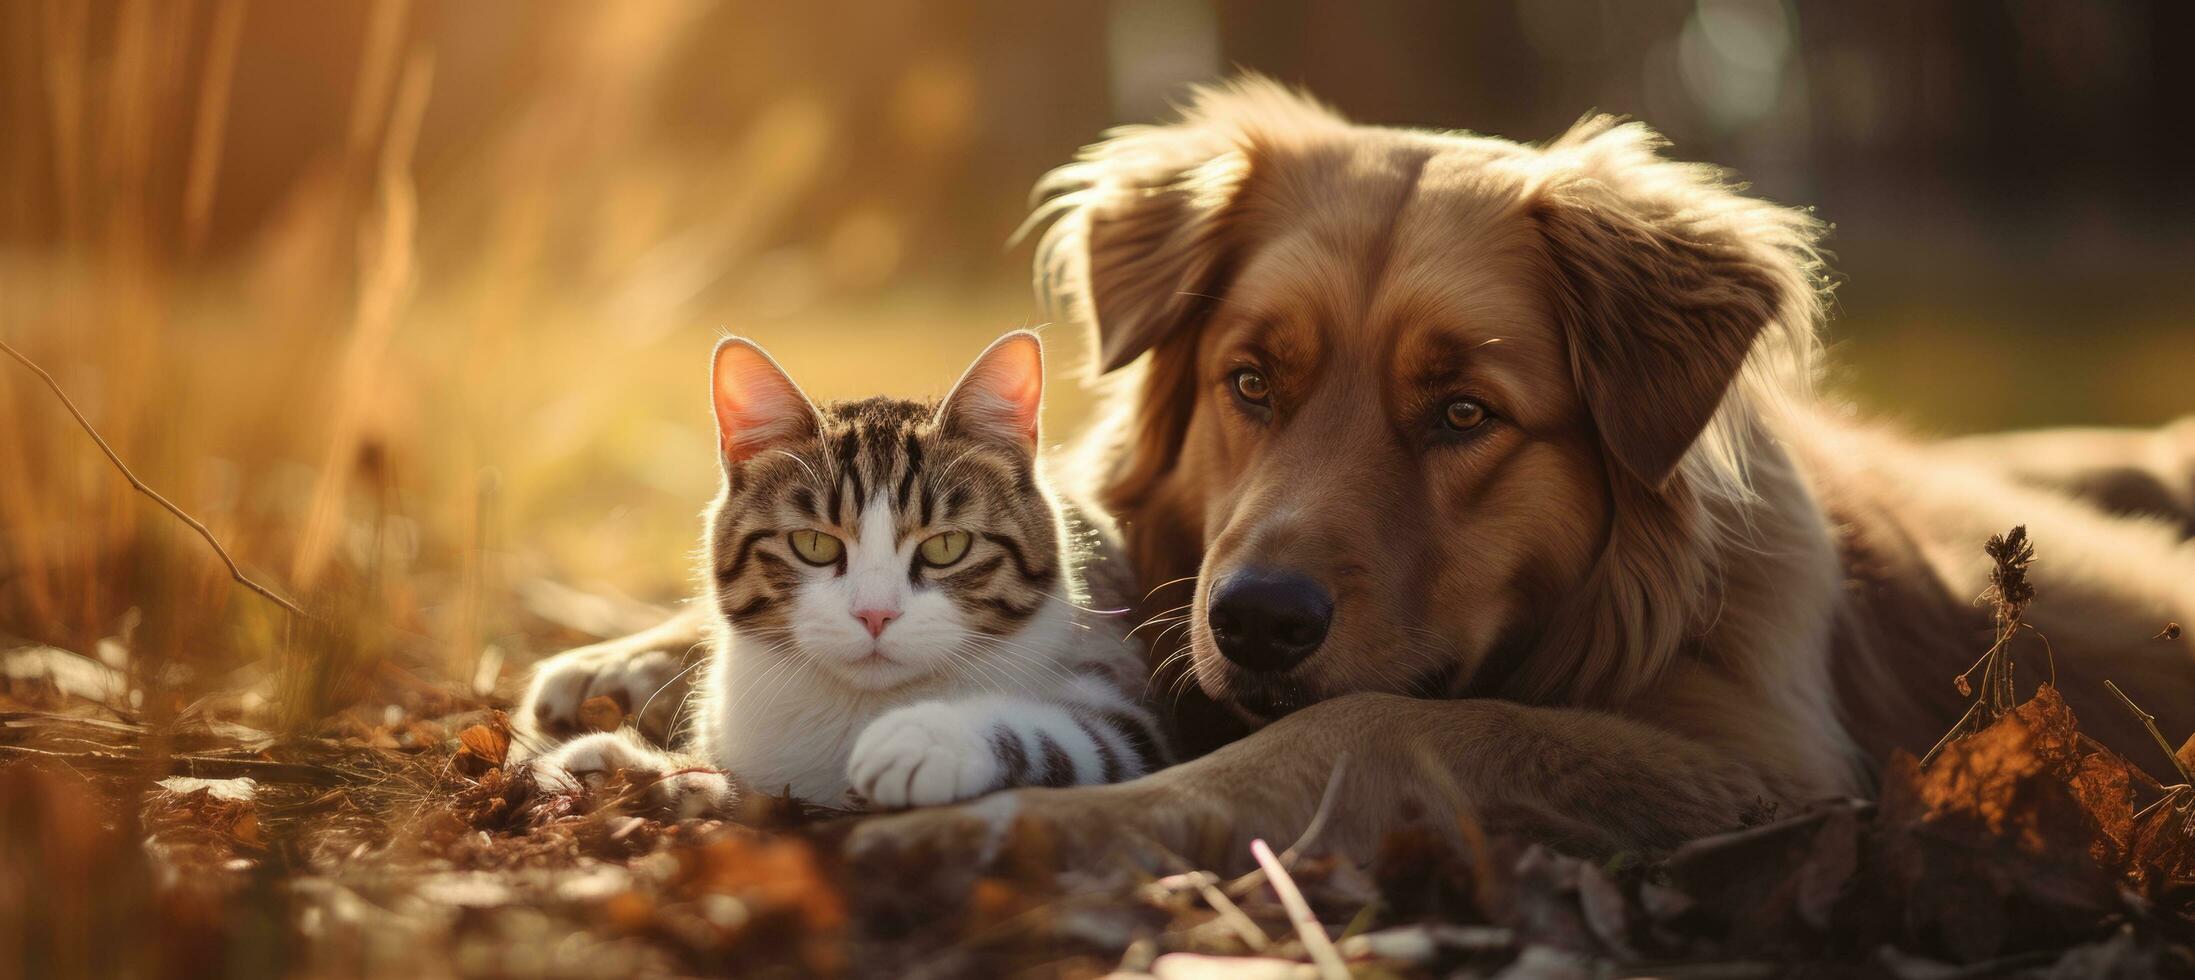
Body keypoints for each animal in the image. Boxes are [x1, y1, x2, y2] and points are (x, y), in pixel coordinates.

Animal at [511, 329, 1167, 813]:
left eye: (947, 546)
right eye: (813, 545)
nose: (875, 614)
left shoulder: (1138, 710)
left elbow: (1081, 737)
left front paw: (924, 739)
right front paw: (639, 772)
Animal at [838, 82, 2195, 865]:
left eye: (1462, 412)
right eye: (1251, 382)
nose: (1257, 622)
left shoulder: (1769, 756)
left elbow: (1379, 724)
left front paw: (1027, 824)